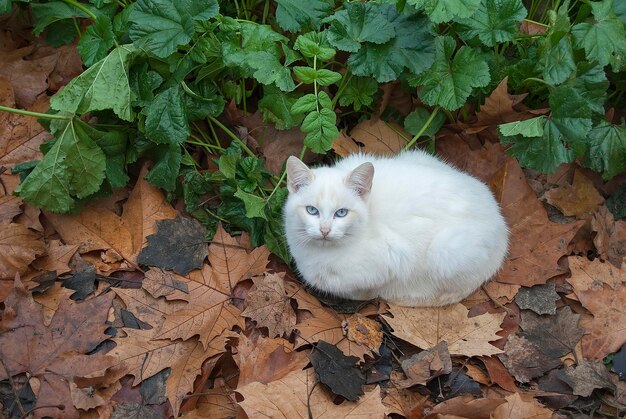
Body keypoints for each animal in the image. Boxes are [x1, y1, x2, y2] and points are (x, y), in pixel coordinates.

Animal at [282, 150, 508, 306]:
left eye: (341, 213)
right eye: (312, 210)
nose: (325, 230)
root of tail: (501, 222)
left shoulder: (392, 258)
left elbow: (365, 289)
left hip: (447, 253)